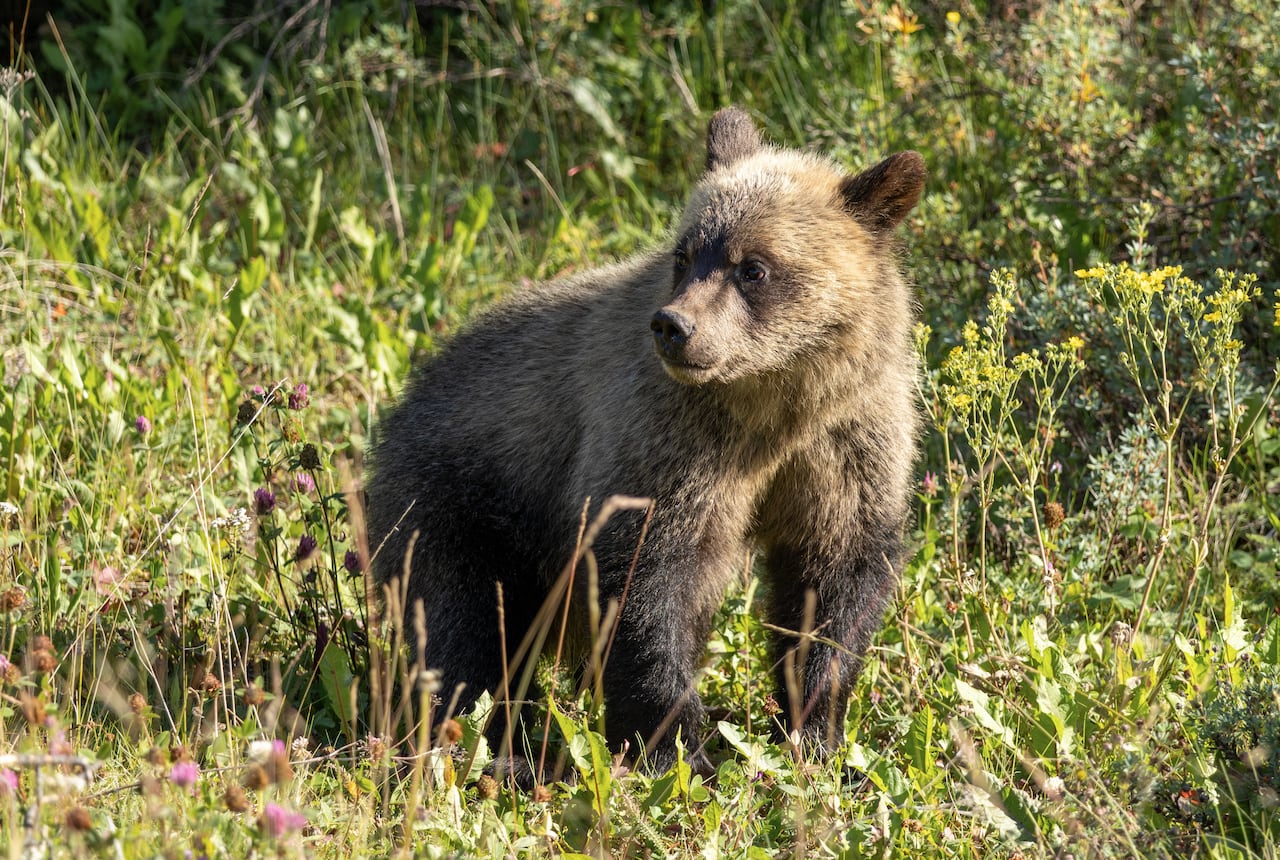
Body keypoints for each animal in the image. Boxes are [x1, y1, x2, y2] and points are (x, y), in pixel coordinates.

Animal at [366, 107, 924, 782]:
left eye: (753, 266)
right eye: (686, 252)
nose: (673, 326)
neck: (771, 402)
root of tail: (403, 404)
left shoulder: (841, 444)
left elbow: (833, 583)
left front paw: (815, 732)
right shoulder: (665, 439)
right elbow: (645, 577)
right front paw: (677, 747)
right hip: (459, 501)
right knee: (464, 632)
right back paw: (501, 748)